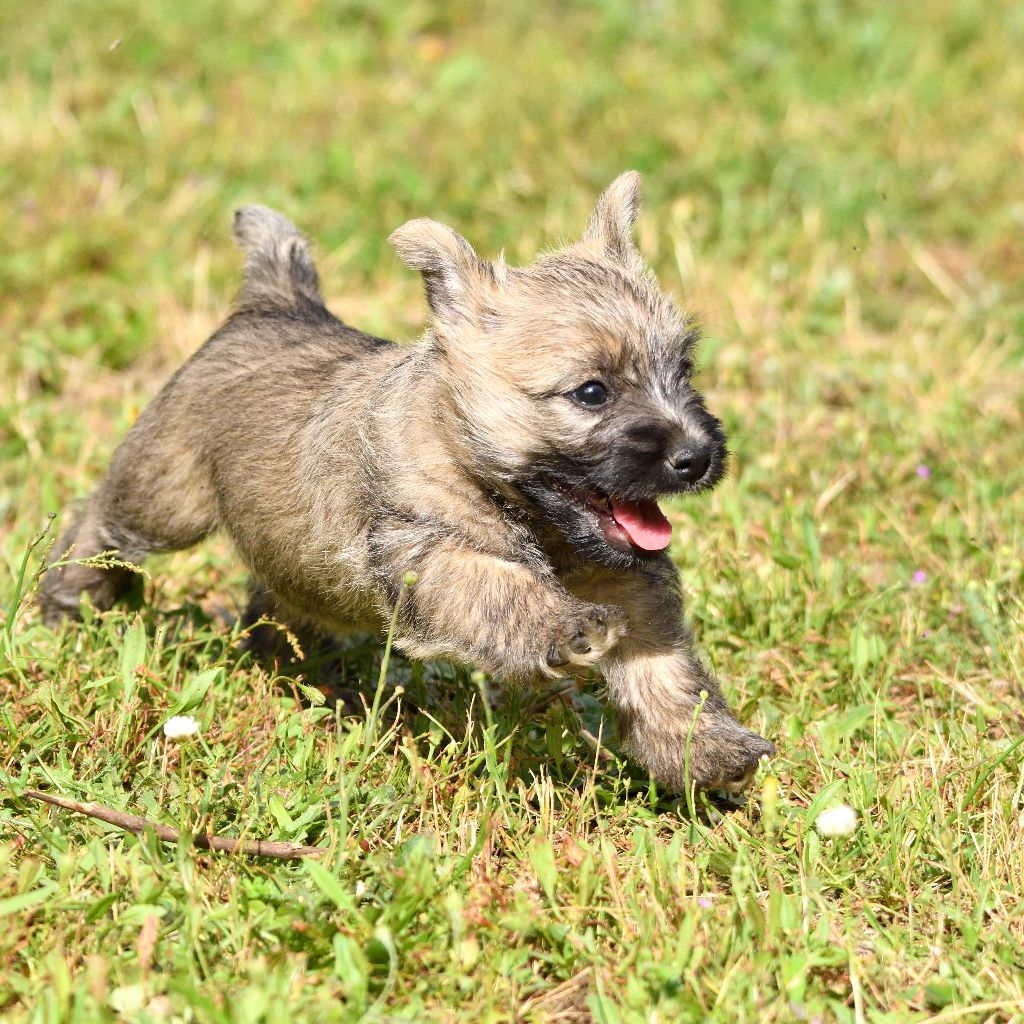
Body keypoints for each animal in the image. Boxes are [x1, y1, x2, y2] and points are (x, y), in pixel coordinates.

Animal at [41, 174, 774, 790]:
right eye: (591, 392)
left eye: (683, 370)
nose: (696, 456)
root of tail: (278, 303)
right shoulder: (429, 555)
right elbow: (501, 588)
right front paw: (566, 626)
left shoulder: (629, 582)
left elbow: (664, 668)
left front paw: (707, 751)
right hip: (166, 490)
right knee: (101, 519)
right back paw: (68, 600)